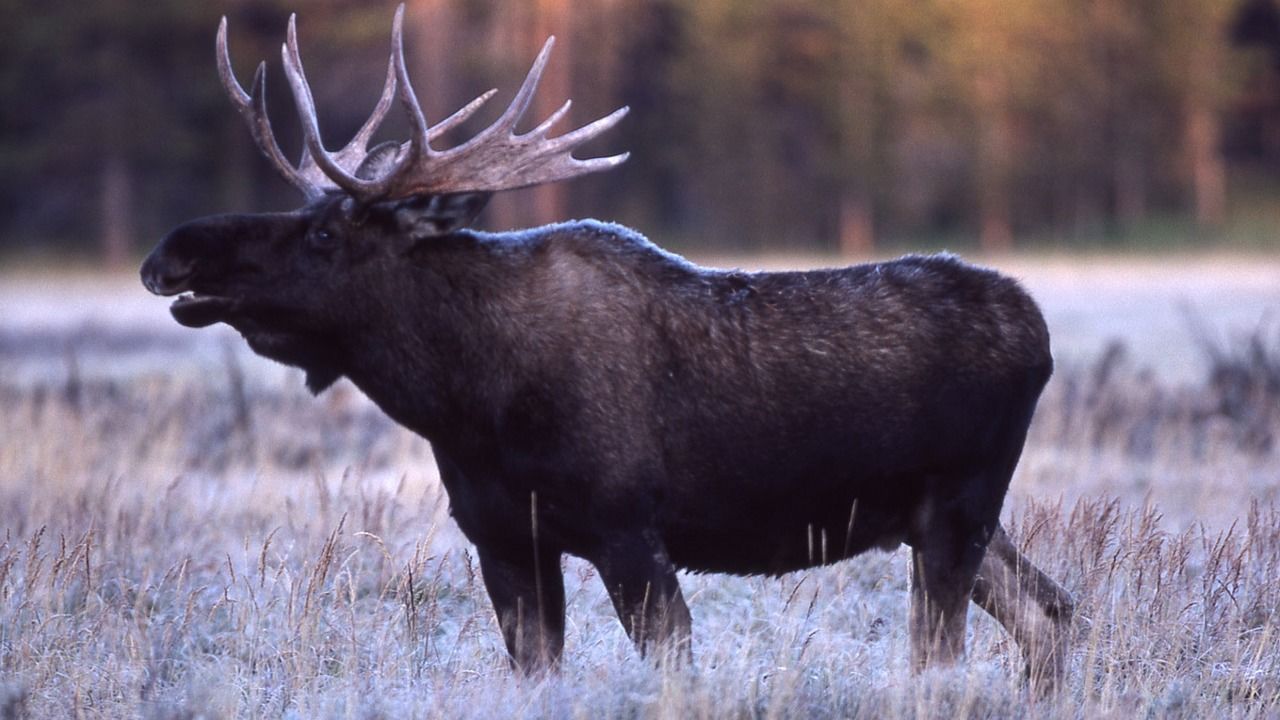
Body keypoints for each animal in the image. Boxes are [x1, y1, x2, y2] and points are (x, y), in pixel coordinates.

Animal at [140, 5, 1074, 690]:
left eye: (326, 232)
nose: (172, 252)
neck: (465, 401)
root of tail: (1039, 330)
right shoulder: (505, 541)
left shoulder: (629, 530)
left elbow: (673, 667)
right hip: (938, 520)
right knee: (1053, 613)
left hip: (957, 508)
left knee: (950, 654)